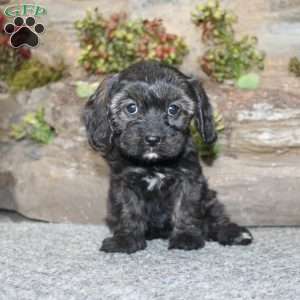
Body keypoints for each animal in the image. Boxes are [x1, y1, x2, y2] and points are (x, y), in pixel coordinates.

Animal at [84, 60, 253, 253]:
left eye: (173, 109)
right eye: (131, 108)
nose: (152, 139)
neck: (154, 164)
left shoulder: (189, 179)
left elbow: (185, 207)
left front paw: (186, 237)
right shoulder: (124, 182)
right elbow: (127, 209)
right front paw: (126, 239)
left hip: (209, 198)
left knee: (216, 217)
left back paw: (234, 233)